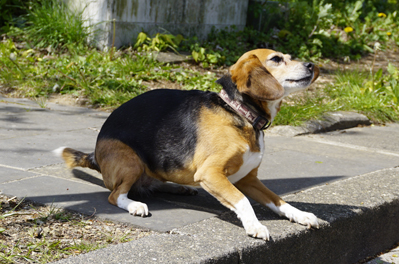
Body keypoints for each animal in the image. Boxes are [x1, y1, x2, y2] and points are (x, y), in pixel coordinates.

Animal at [54, 48, 320, 240]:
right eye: (276, 59)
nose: (311, 65)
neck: (240, 113)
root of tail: (95, 155)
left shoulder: (249, 179)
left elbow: (279, 200)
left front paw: (302, 215)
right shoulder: (211, 174)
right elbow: (242, 200)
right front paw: (255, 226)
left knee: (153, 182)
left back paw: (178, 188)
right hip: (130, 162)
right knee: (116, 195)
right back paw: (135, 205)